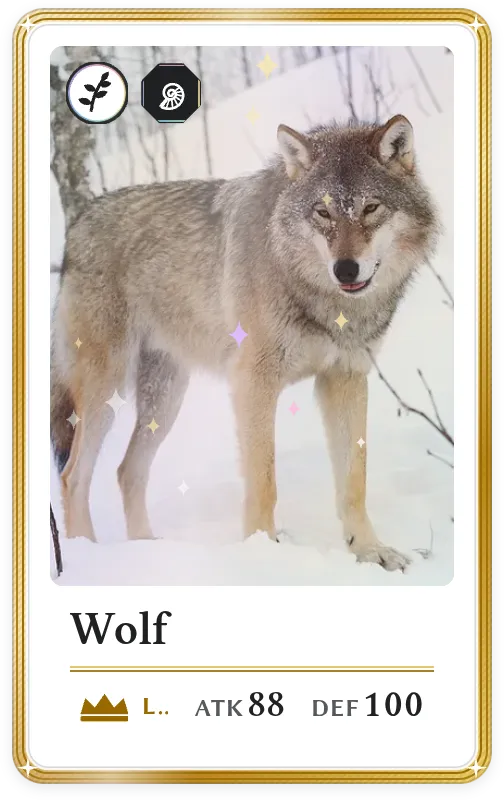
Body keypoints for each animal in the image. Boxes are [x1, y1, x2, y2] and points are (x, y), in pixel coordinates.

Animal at [51, 114, 438, 571]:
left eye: (371, 208)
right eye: (322, 212)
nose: (345, 269)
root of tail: (78, 223)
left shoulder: (345, 378)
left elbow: (353, 480)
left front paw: (369, 550)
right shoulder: (253, 383)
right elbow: (264, 481)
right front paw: (264, 554)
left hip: (164, 400)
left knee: (127, 471)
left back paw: (145, 547)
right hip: (105, 393)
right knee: (73, 475)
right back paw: (85, 555)